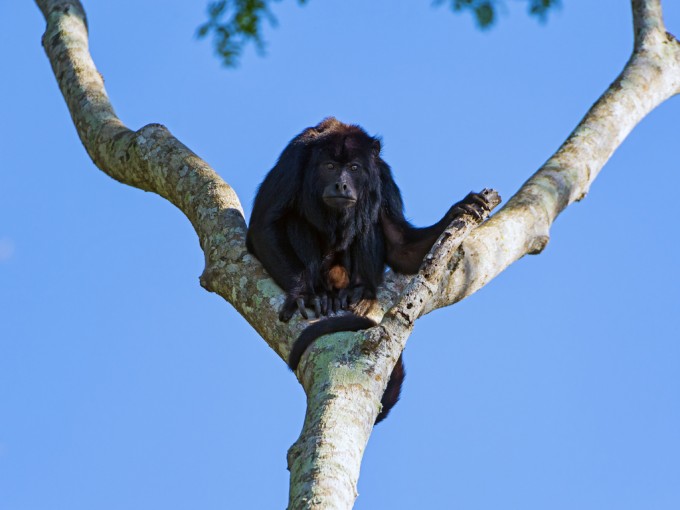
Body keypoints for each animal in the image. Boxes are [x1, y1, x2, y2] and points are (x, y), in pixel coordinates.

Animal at [247, 117, 492, 424]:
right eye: (329, 166)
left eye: (354, 168)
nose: (341, 184)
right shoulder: (294, 158)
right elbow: (264, 225)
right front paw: (304, 294)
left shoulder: (383, 176)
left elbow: (399, 245)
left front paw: (458, 209)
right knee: (296, 221)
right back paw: (324, 293)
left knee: (369, 220)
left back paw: (360, 293)